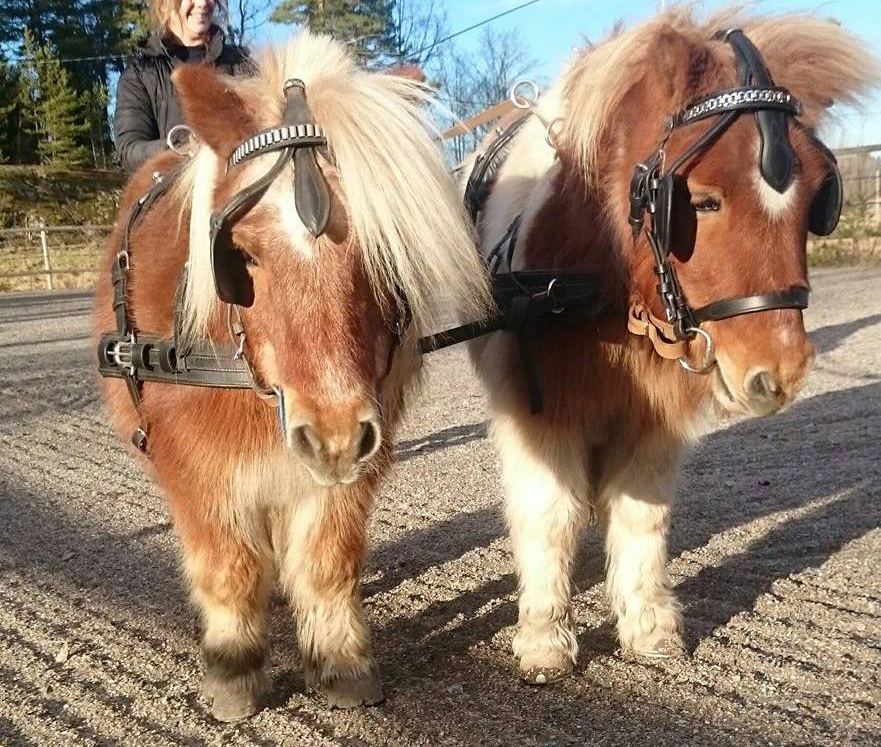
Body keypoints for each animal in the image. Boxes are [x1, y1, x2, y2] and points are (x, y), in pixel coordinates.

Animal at [94, 32, 488, 720]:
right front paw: (233, 669)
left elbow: (328, 560)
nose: (332, 436)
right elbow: (228, 565)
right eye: (243, 255)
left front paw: (340, 662)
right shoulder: (197, 466)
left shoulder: (354, 457)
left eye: (384, 250)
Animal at [470, 8, 876, 684]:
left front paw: (648, 627)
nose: (780, 374)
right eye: (702, 201)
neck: (600, 294)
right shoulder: (542, 412)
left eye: (819, 196)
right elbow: (550, 515)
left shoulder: (654, 417)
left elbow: (642, 515)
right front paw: (545, 640)